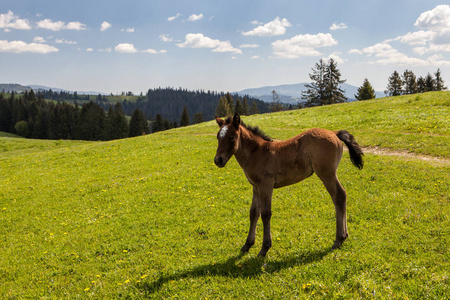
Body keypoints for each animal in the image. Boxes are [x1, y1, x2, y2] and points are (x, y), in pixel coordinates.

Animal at [213, 113, 364, 256]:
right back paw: (344, 236)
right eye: (218, 137)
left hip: (327, 173)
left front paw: (264, 248)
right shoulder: (256, 187)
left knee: (339, 196)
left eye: (232, 136)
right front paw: (247, 245)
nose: (218, 160)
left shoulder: (266, 185)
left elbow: (265, 213)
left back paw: (339, 239)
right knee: (341, 196)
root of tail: (334, 132)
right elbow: (254, 213)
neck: (257, 153)